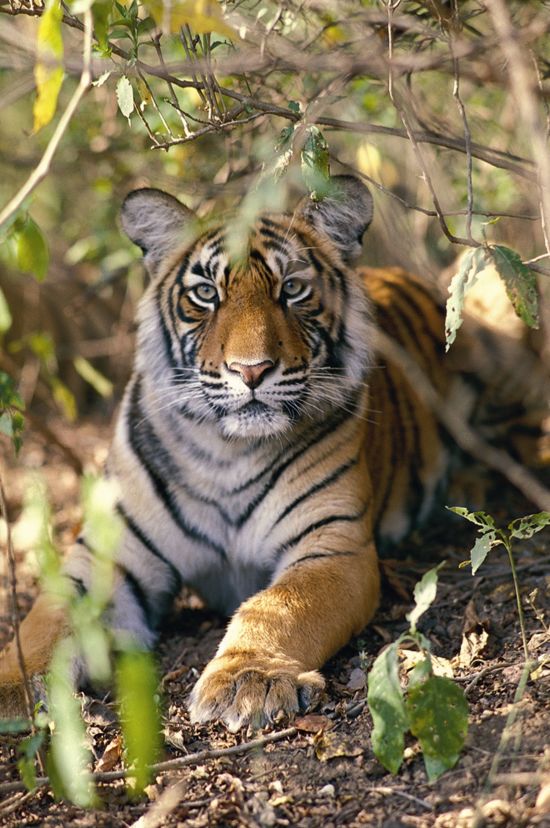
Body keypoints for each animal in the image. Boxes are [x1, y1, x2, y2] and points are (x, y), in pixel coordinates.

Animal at [0, 175, 547, 731]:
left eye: (293, 289)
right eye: (206, 293)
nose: (252, 370)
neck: (224, 451)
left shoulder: (333, 546)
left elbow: (280, 605)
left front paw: (248, 679)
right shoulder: (103, 556)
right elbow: (40, 625)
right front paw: (10, 689)